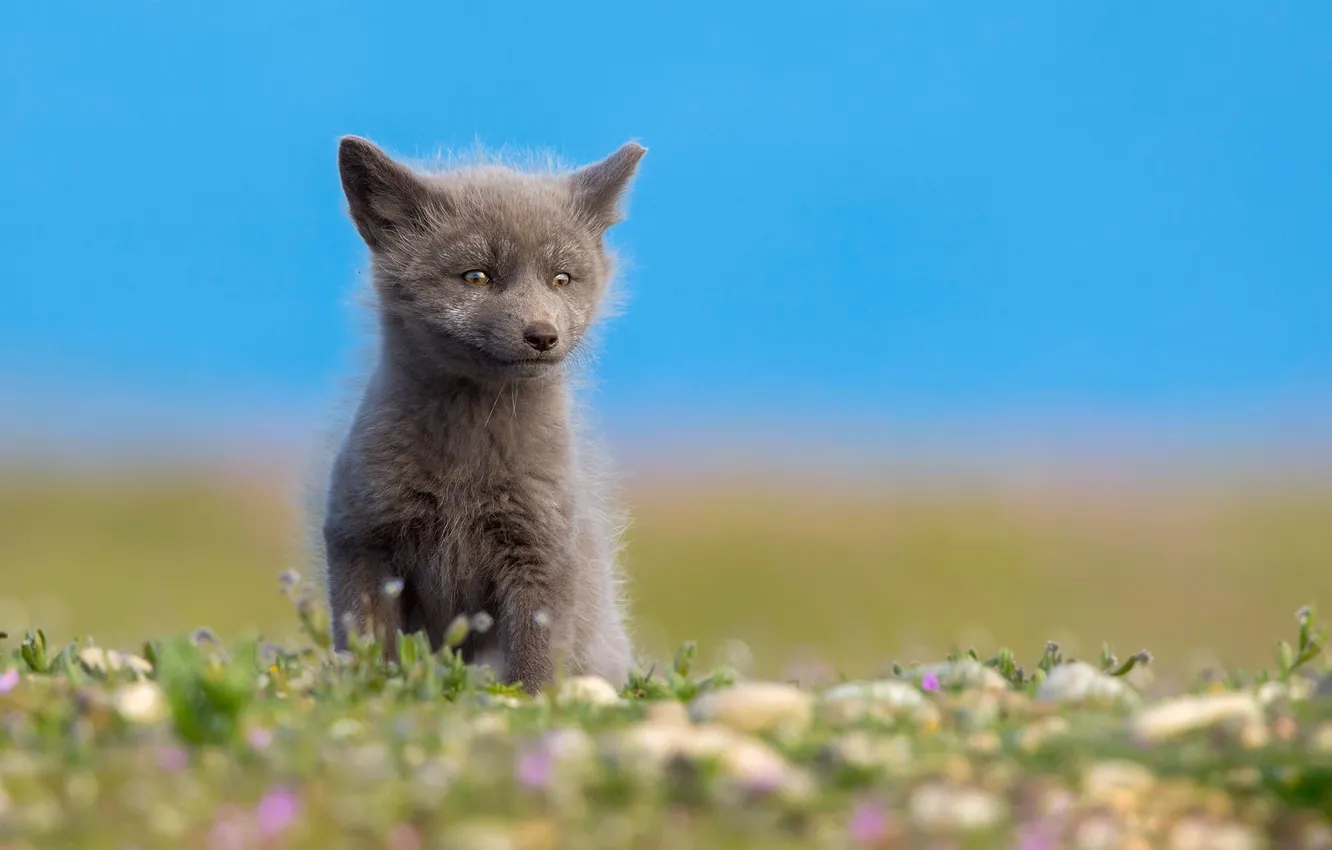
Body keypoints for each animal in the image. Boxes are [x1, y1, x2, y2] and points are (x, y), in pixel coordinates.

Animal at [318, 135, 646, 692]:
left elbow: (535, 661)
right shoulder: (359, 541)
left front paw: (532, 701)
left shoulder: (540, 553)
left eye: (562, 278)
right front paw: (368, 691)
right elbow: (366, 642)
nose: (542, 335)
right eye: (477, 276)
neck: (464, 465)